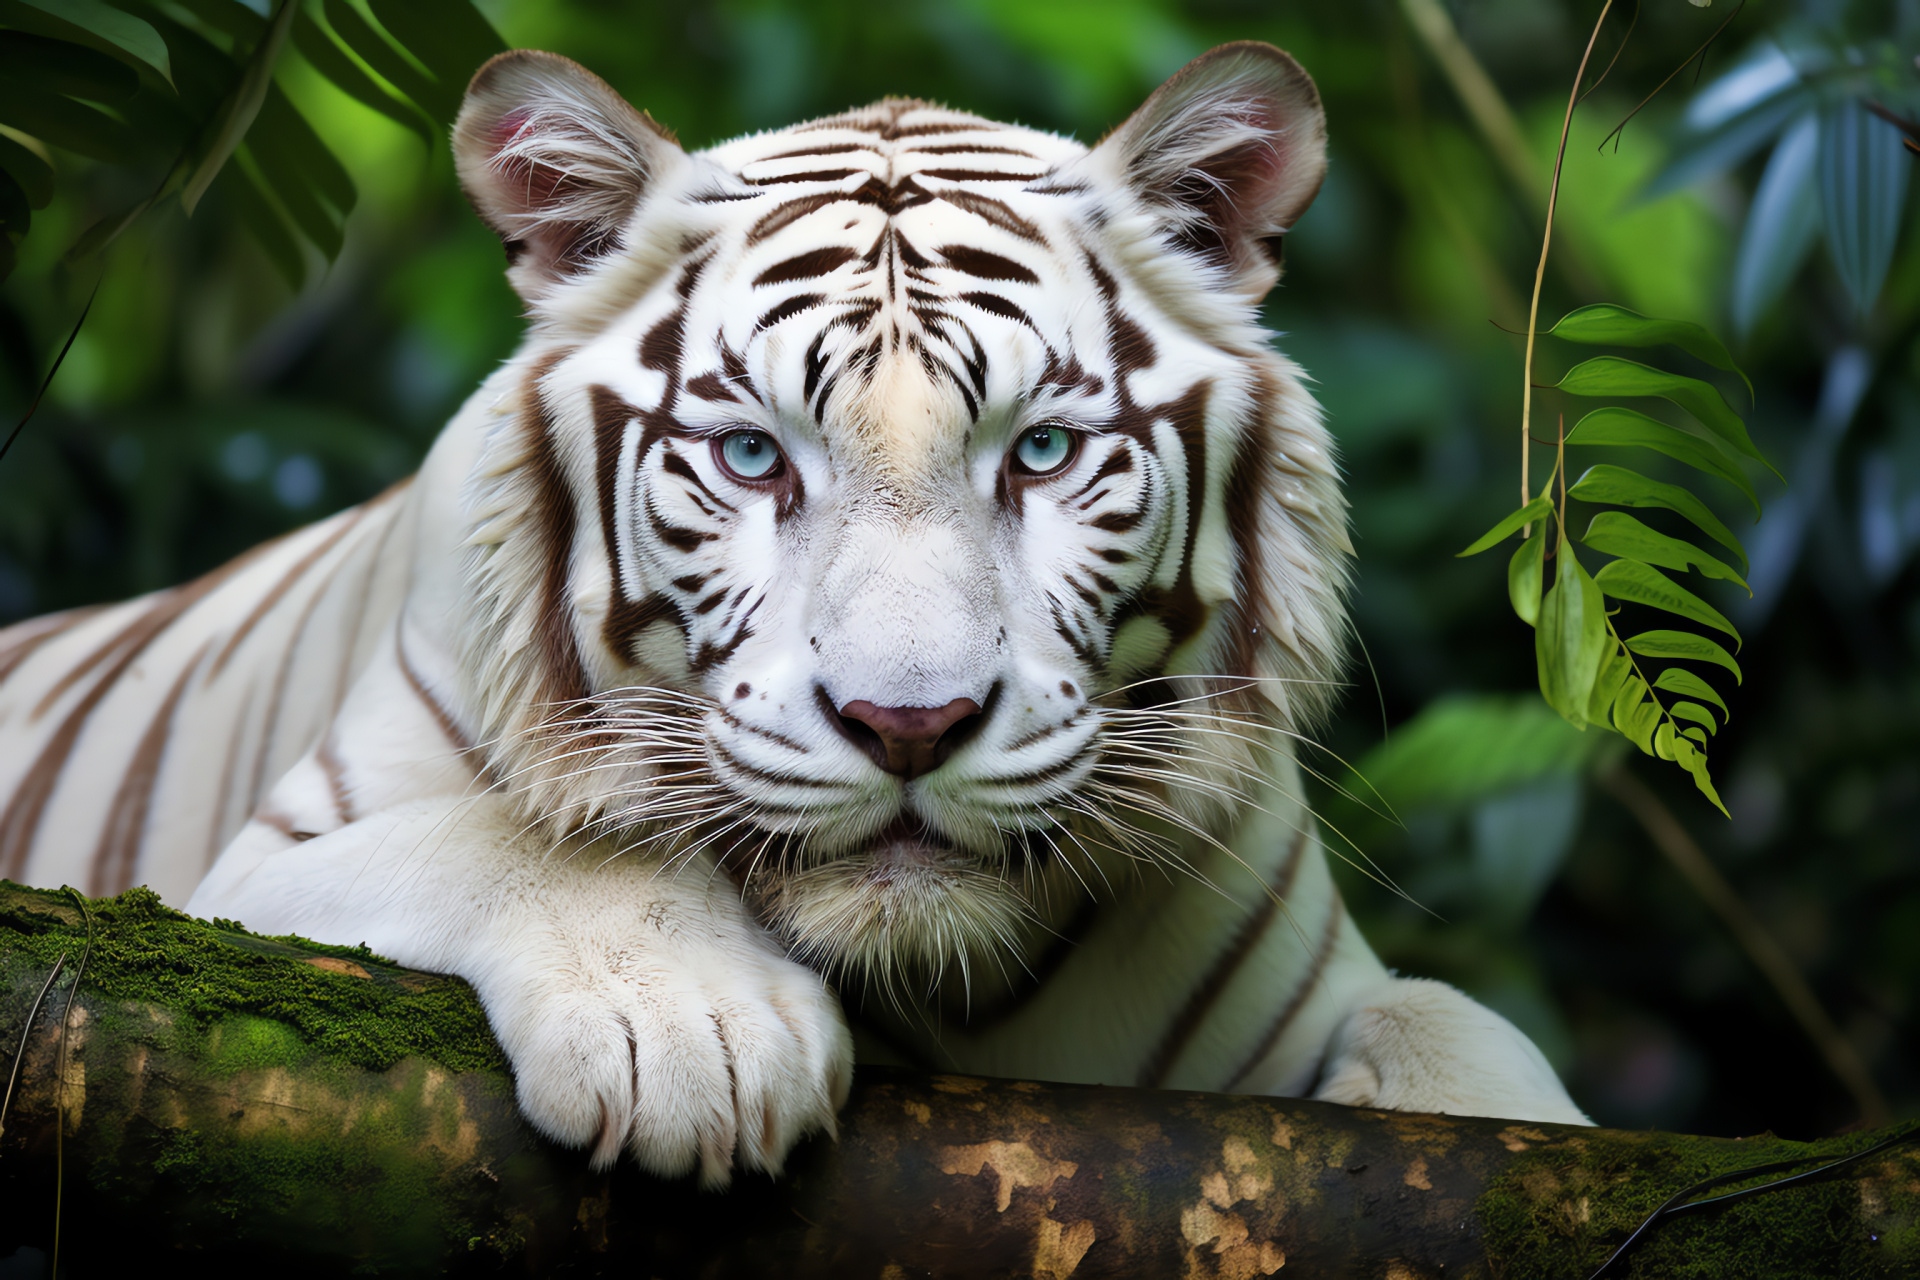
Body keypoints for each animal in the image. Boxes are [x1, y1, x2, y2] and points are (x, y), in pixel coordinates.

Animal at [0, 45, 1589, 1189]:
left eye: (1042, 452)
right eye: (754, 456)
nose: (909, 725)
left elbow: (1467, 1039)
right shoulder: (222, 890)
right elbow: (516, 836)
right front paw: (690, 1033)